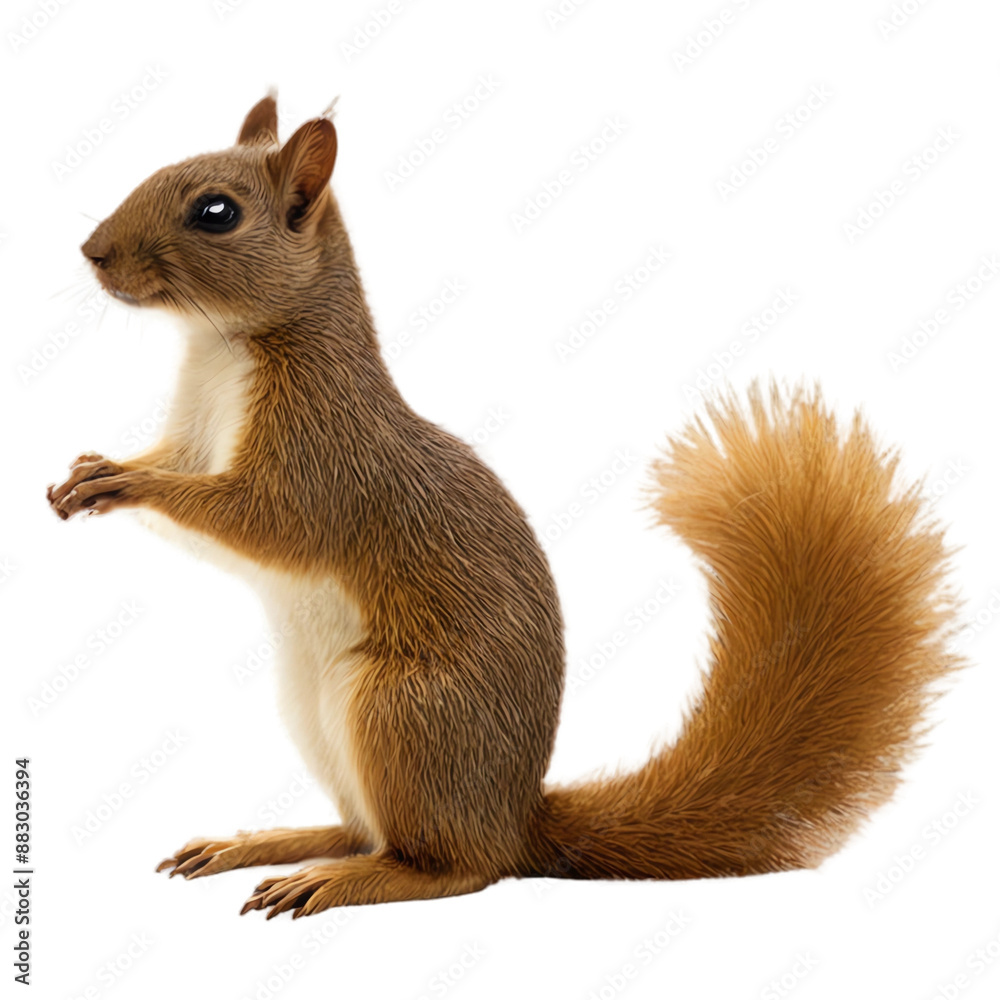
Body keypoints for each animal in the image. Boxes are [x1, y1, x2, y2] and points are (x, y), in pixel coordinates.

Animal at [47, 94, 961, 919]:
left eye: (216, 213)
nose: (91, 252)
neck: (223, 347)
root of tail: (518, 820)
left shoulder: (326, 454)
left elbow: (262, 520)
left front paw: (124, 484)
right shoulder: (195, 434)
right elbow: (177, 470)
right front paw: (91, 471)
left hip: (400, 711)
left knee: (453, 867)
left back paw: (346, 879)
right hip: (318, 718)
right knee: (366, 830)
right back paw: (270, 844)